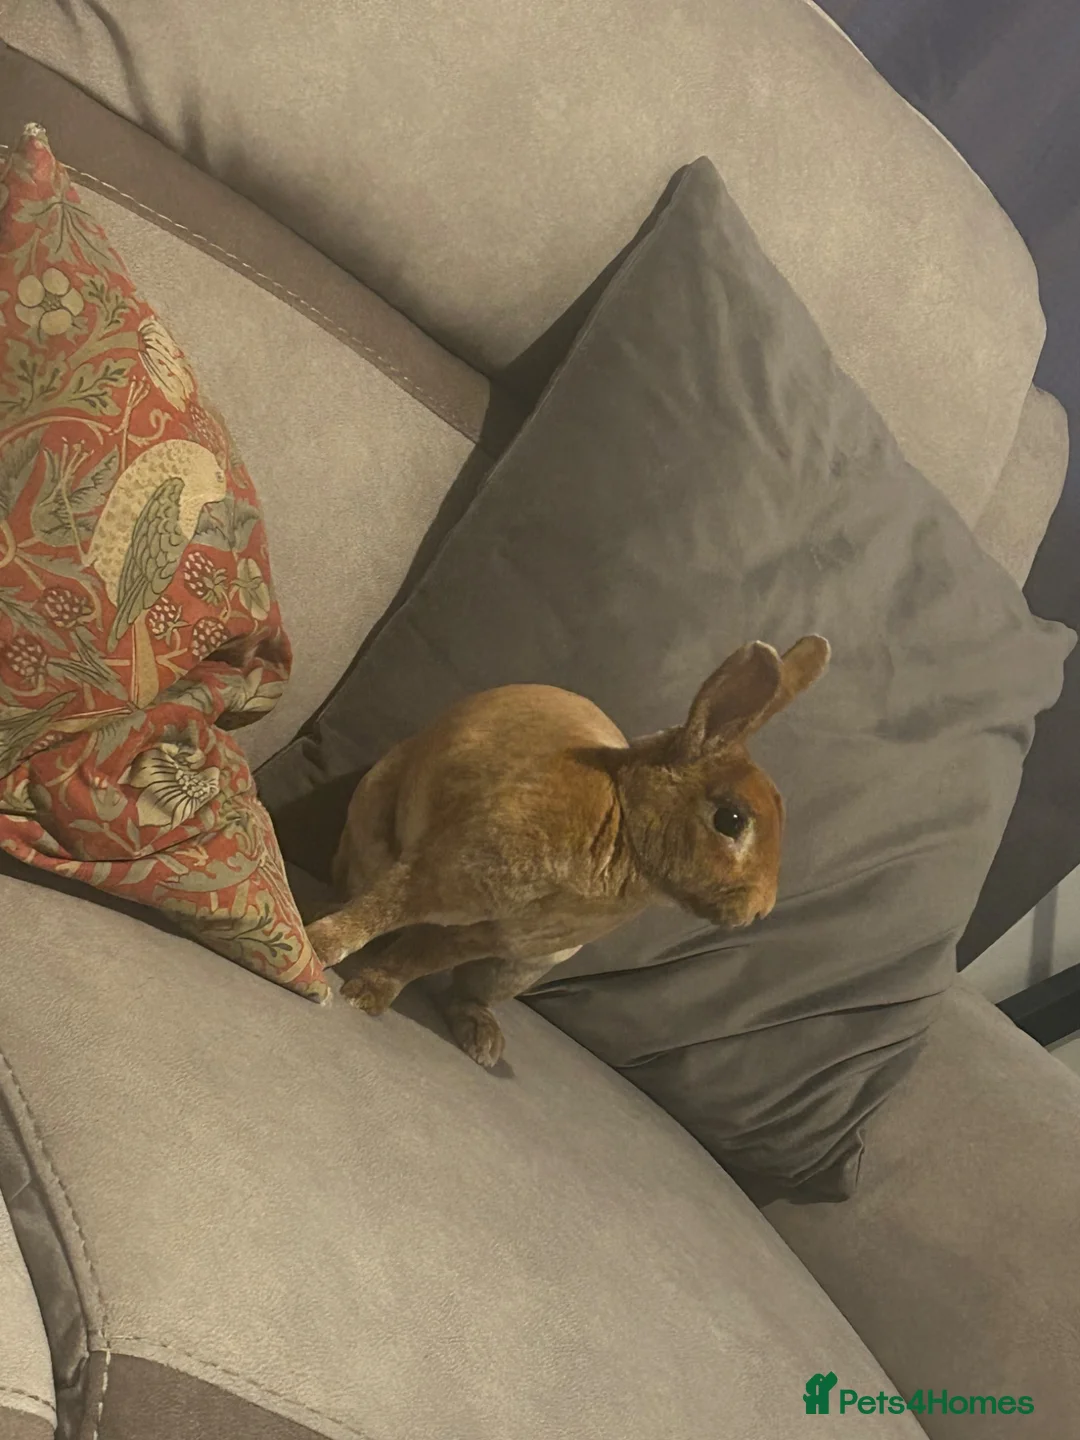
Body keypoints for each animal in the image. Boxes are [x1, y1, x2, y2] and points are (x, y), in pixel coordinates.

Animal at [305, 635, 830, 1068]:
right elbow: (371, 918)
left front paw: (370, 995)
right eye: (731, 820)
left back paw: (484, 1041)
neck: (620, 821)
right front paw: (317, 950)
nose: (761, 909)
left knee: (465, 992)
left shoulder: (483, 936)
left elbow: (414, 962)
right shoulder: (435, 877)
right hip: (371, 837)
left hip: (520, 969)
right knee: (357, 894)